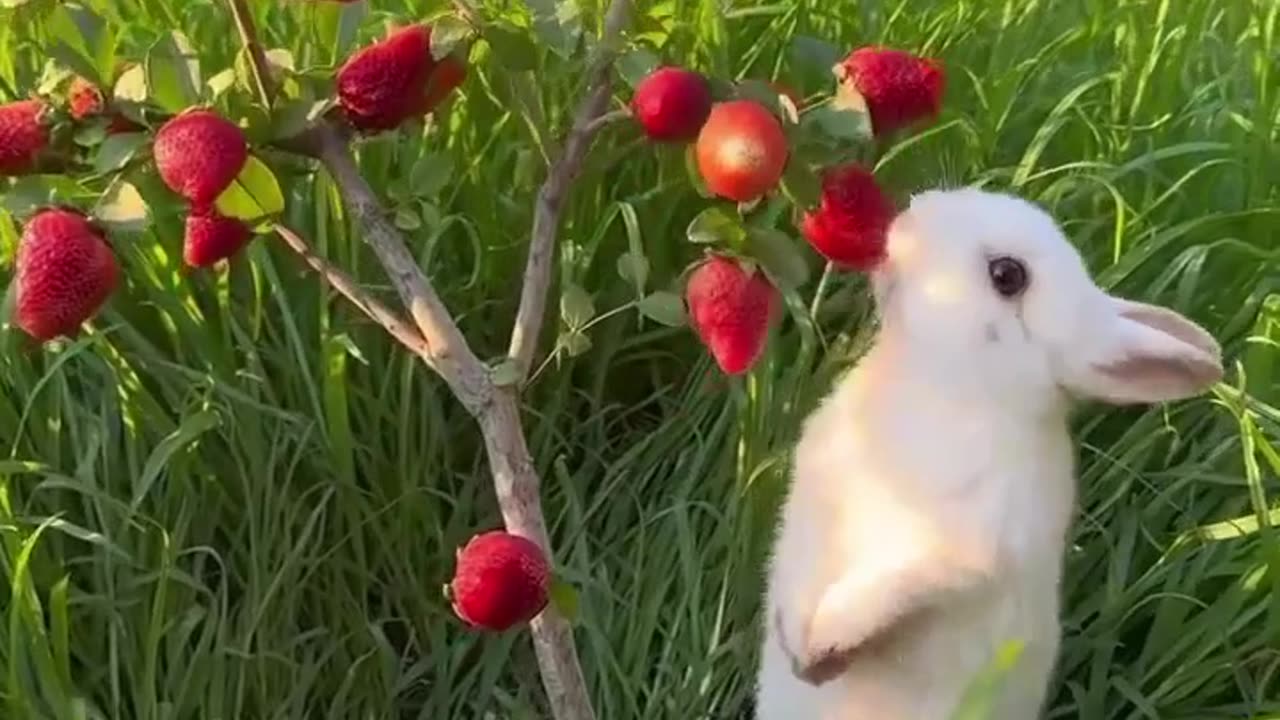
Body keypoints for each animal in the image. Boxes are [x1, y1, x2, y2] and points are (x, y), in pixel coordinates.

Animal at [752, 188, 1223, 712]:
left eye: (1008, 276)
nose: (909, 218)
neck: (947, 389)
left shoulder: (961, 556)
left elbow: (891, 588)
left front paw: (822, 650)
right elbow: (799, 577)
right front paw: (797, 644)